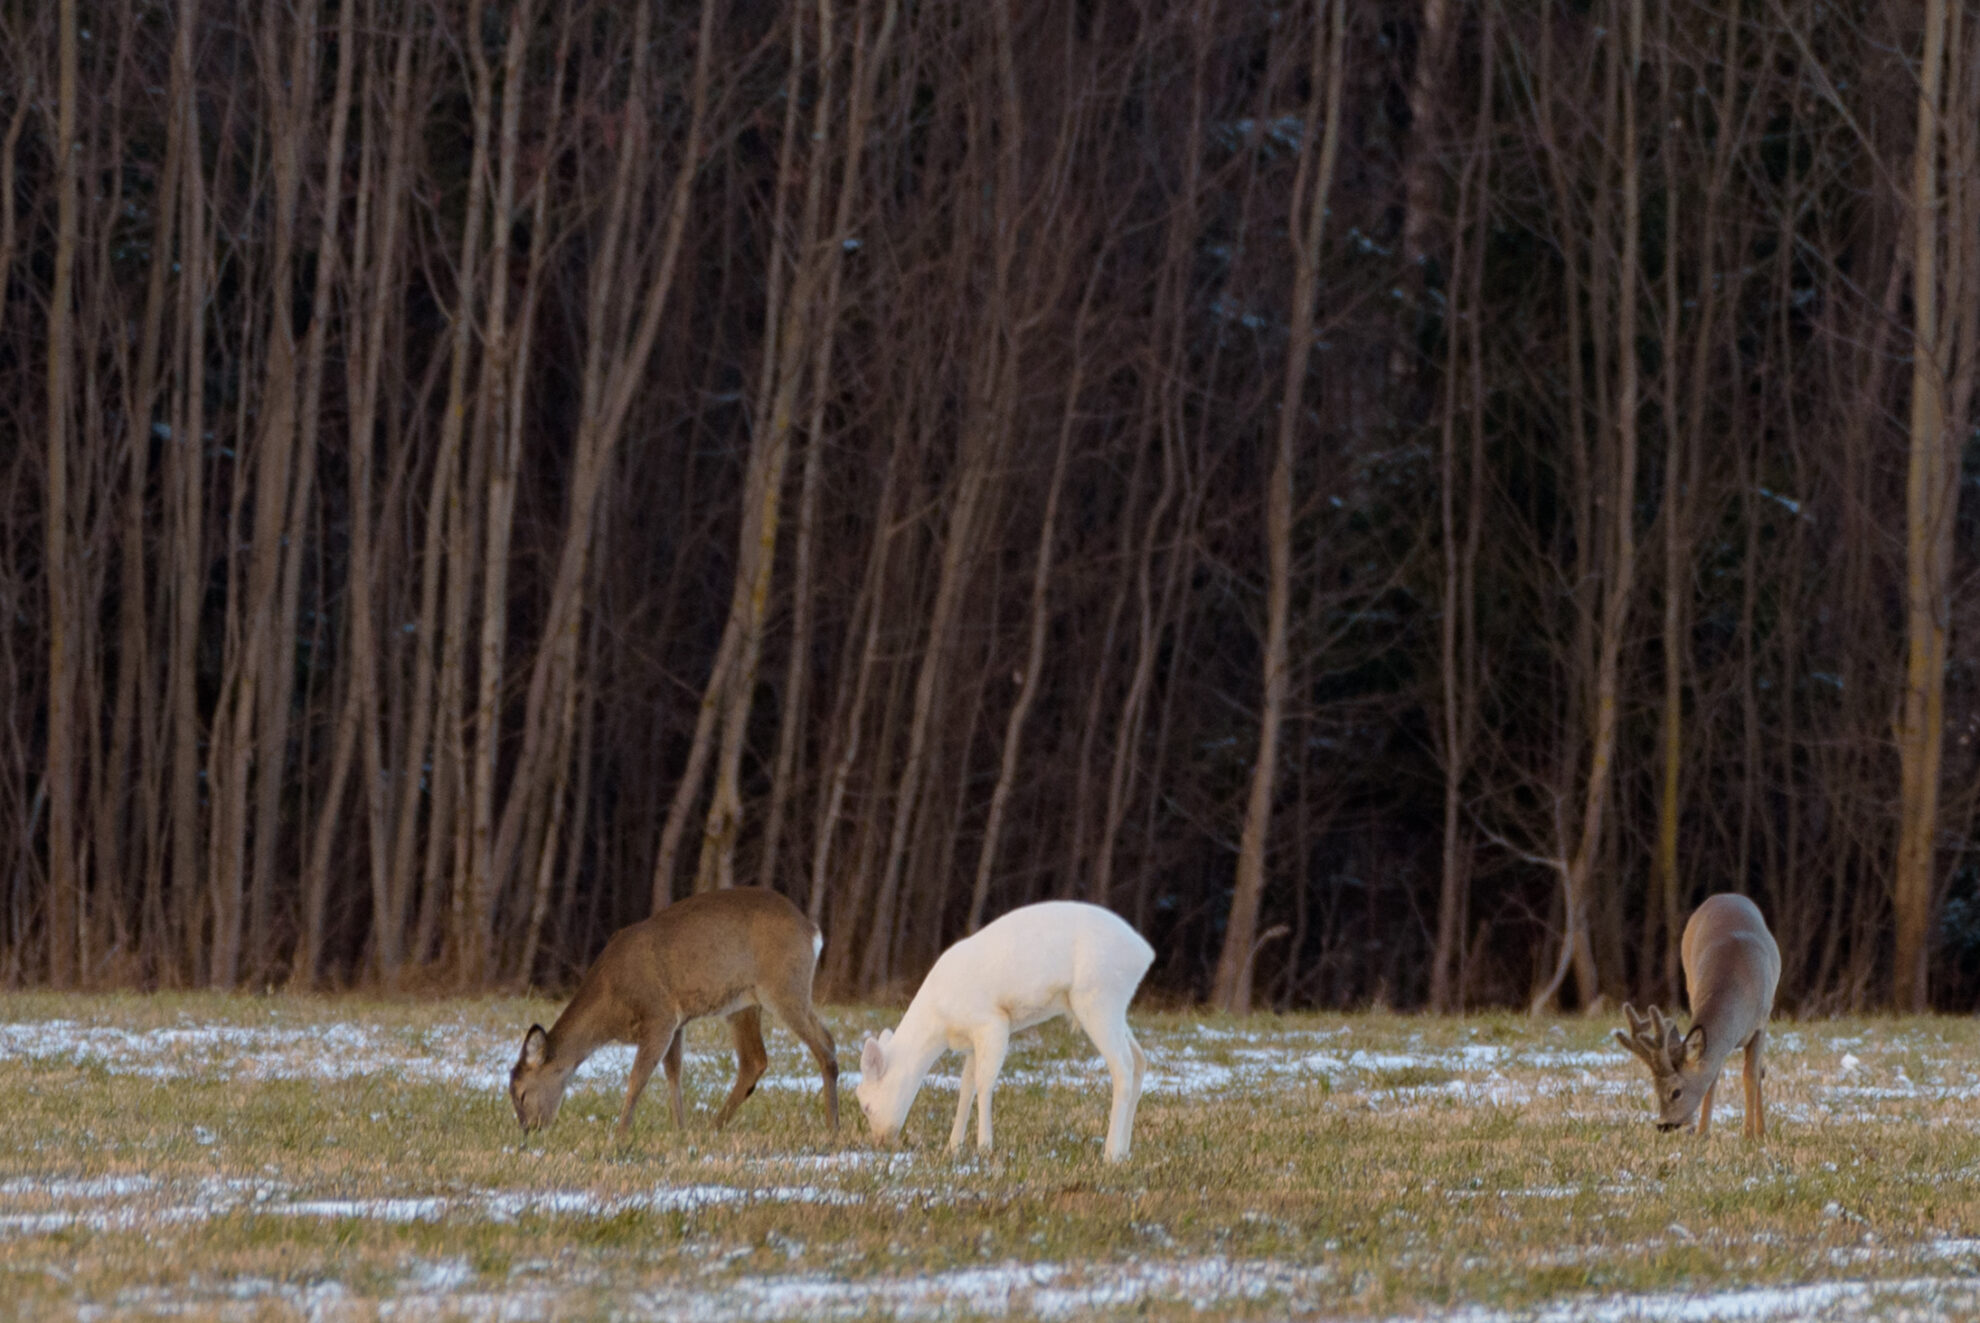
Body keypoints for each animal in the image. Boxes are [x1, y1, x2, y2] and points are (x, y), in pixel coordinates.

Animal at [506, 883, 839, 1140]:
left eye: (521, 1093)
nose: (529, 1130)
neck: (611, 1007)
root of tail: (812, 930)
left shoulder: (659, 1015)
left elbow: (637, 1079)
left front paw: (620, 1136)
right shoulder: (677, 1021)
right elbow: (673, 1073)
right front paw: (680, 1129)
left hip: (782, 987)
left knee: (823, 1050)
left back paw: (832, 1128)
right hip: (746, 1002)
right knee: (766, 1056)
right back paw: (712, 1127)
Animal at [855, 899, 1156, 1164]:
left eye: (866, 1106)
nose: (880, 1141)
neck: (940, 1023)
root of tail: (1145, 954)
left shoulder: (992, 1022)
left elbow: (984, 1082)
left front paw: (984, 1147)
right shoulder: (971, 1038)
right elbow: (966, 1086)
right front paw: (953, 1146)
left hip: (1098, 997)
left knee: (1123, 1066)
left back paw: (1110, 1154)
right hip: (1114, 1003)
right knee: (1139, 1058)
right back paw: (1124, 1151)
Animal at [1607, 887, 1782, 1140]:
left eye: (1676, 1092)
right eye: (1655, 1089)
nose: (1663, 1125)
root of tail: (1724, 896)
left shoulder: (1762, 1022)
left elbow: (1750, 1074)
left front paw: (1750, 1134)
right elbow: (1712, 1077)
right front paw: (1702, 1132)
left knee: (1758, 1070)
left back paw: (1760, 1129)